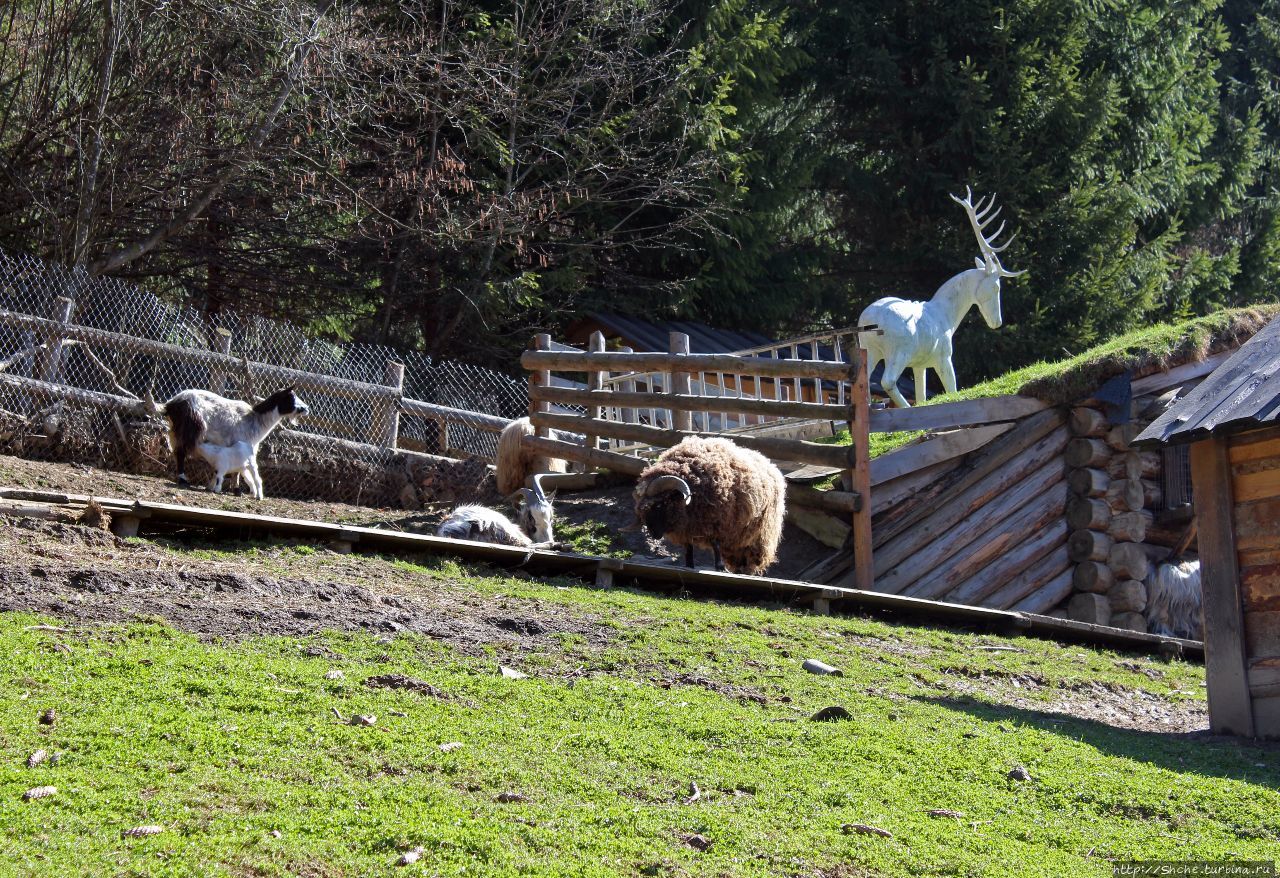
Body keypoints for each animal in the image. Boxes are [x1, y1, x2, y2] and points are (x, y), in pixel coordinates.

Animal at [162, 389, 309, 499]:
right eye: (291, 397)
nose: (306, 408)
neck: (255, 421)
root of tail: (172, 404)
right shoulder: (241, 445)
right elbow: (236, 469)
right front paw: (236, 489)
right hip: (189, 429)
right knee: (181, 453)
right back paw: (183, 480)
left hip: (175, 430)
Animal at [634, 435, 783, 573]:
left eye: (660, 504)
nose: (653, 533)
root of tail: (770, 464)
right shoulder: (687, 529)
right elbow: (688, 548)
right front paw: (689, 565)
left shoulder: (717, 521)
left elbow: (715, 544)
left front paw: (720, 567)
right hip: (735, 540)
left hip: (758, 533)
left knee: (750, 555)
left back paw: (747, 571)